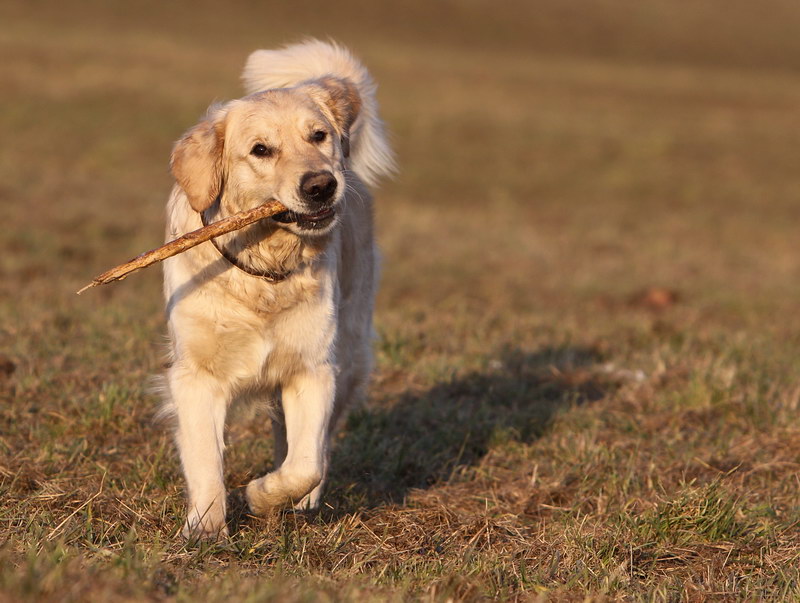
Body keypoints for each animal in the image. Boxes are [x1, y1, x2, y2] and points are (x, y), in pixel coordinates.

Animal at [159, 40, 394, 540]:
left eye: (319, 136)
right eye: (260, 150)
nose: (321, 185)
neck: (262, 274)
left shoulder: (314, 368)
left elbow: (305, 462)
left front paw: (263, 496)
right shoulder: (195, 376)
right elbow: (206, 461)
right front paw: (205, 530)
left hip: (351, 353)